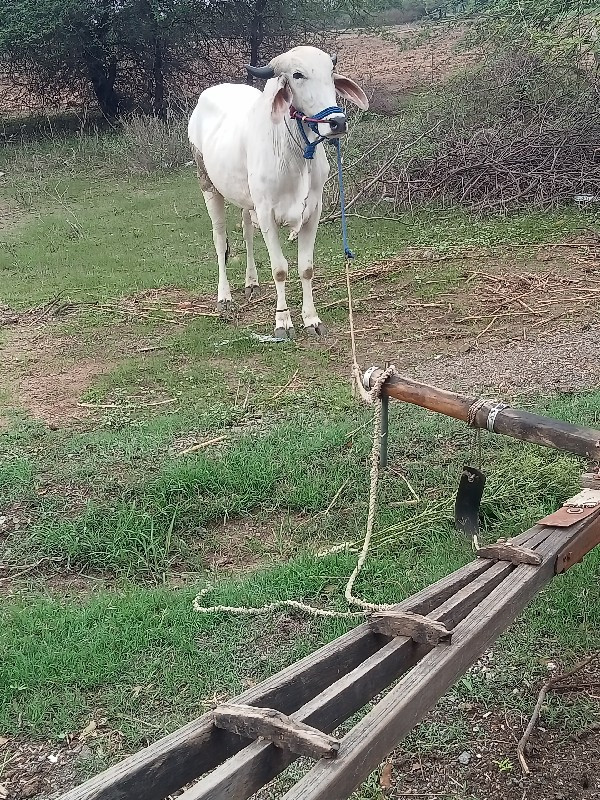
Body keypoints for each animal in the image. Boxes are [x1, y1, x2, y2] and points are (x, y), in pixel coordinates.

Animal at [188, 44, 368, 338]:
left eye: (331, 73)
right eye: (297, 75)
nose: (337, 123)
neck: (295, 150)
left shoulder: (312, 212)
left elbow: (306, 268)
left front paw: (311, 319)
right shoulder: (267, 213)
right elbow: (280, 269)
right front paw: (282, 321)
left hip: (246, 200)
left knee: (247, 233)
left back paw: (251, 283)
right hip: (208, 185)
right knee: (220, 240)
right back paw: (224, 298)